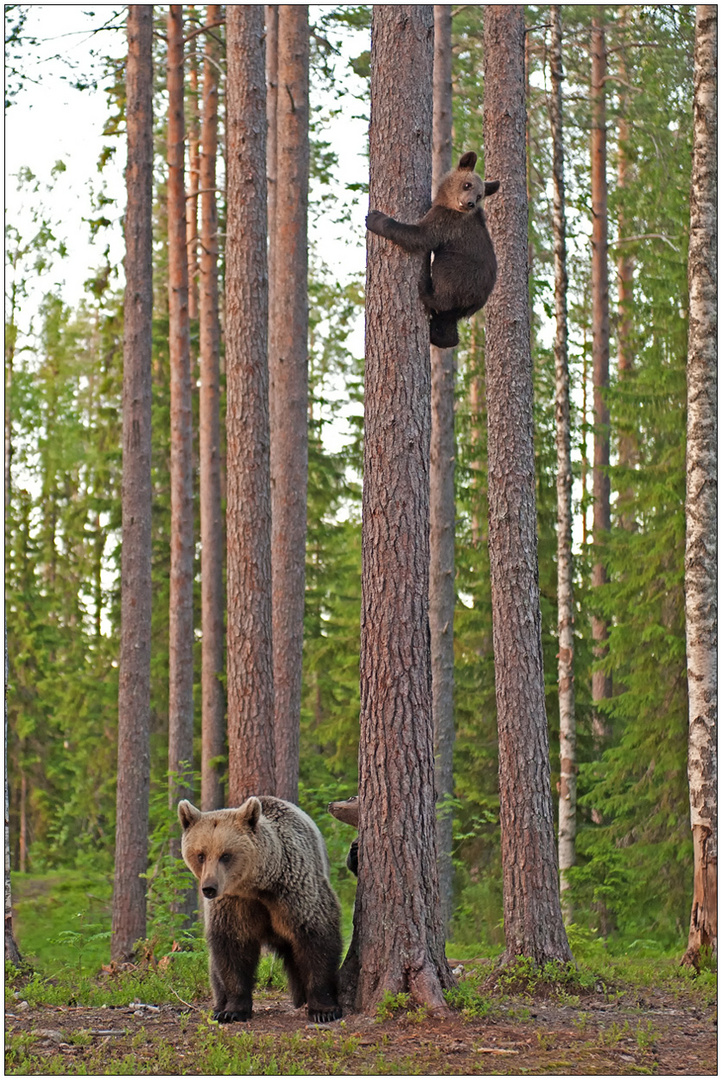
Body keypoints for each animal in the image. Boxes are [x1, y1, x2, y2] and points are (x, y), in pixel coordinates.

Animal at [175, 799, 343, 1023]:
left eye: (225, 855)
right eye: (200, 855)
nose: (209, 888)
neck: (257, 886)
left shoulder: (294, 892)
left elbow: (316, 938)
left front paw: (324, 1010)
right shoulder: (233, 904)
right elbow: (232, 950)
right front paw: (233, 1010)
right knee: (215, 967)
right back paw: (218, 1006)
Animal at [366, 149, 496, 345]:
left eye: (479, 195)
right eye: (467, 185)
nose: (470, 203)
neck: (446, 202)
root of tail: (477, 302)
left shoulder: (446, 223)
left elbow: (418, 236)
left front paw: (374, 218)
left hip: (462, 274)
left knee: (445, 282)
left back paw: (426, 290)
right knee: (448, 321)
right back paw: (441, 336)